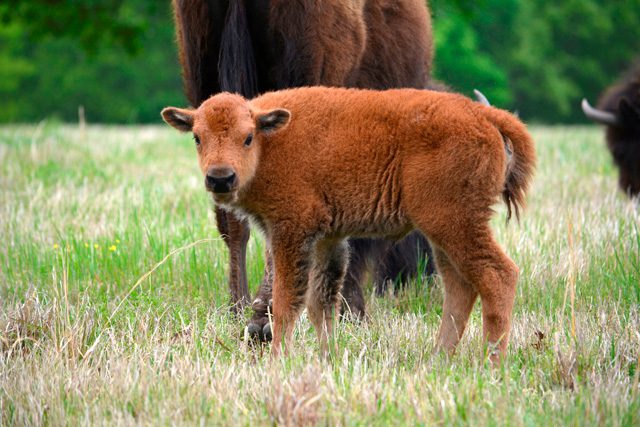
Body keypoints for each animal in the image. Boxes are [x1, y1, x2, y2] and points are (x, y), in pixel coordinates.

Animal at [161, 87, 536, 362]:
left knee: (497, 276)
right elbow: (320, 303)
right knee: (460, 288)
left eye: (247, 137)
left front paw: (279, 360)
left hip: (456, 224)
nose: (220, 178)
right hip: (442, 233)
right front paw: (327, 357)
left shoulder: (291, 232)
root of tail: (483, 114)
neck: (272, 141)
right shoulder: (328, 240)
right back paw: (437, 359)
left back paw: (491, 362)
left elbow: (286, 301)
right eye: (197, 137)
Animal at [172, 0, 438, 342]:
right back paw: (264, 319)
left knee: (232, 220)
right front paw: (351, 310)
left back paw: (238, 309)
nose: (427, 279)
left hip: (203, 72)